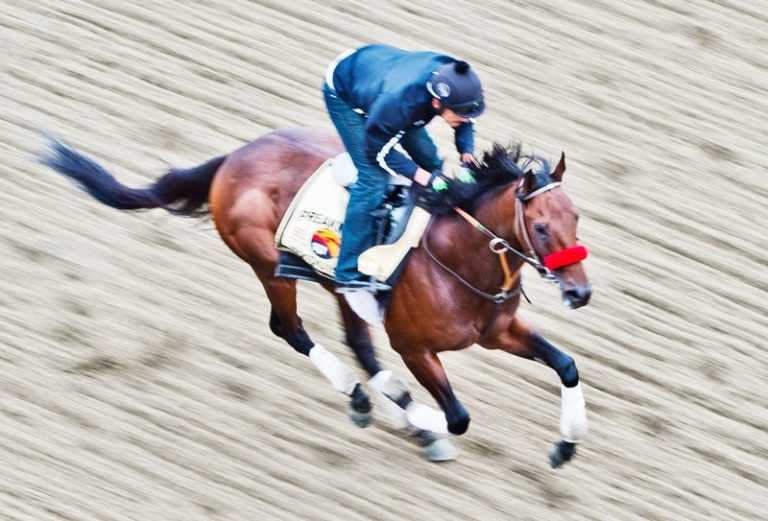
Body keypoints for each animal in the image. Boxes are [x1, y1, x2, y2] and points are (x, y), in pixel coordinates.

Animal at [39, 127, 591, 467]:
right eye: (542, 227)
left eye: (575, 218)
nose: (580, 292)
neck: (457, 260)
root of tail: (234, 158)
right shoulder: (414, 346)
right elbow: (458, 418)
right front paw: (419, 416)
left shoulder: (498, 331)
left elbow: (566, 366)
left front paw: (566, 446)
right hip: (270, 266)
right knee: (290, 329)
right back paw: (372, 401)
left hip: (337, 288)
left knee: (359, 345)